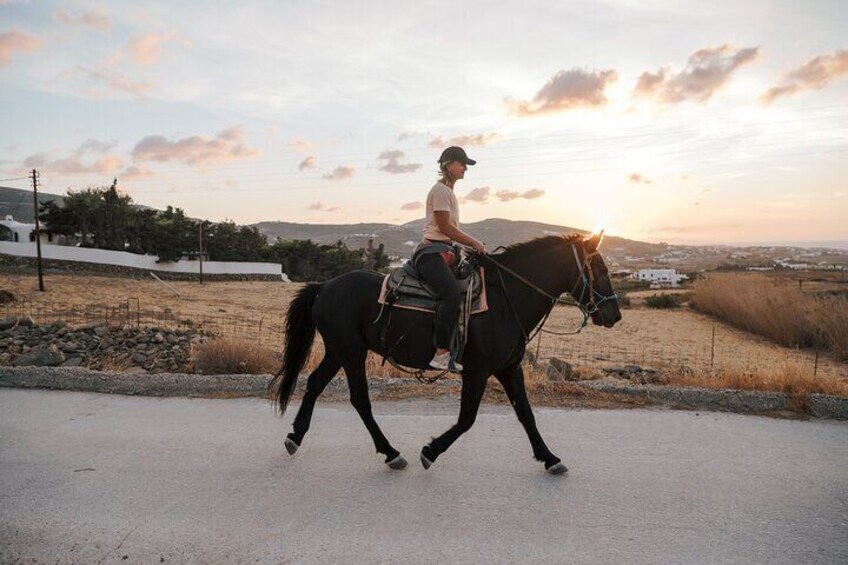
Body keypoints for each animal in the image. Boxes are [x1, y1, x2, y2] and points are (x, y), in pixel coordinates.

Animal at [272, 231, 624, 474]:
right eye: (600, 269)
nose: (614, 314)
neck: (506, 298)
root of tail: (324, 287)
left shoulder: (509, 368)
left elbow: (526, 413)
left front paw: (549, 458)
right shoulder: (478, 370)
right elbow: (467, 418)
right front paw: (430, 452)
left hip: (338, 350)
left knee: (315, 384)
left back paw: (295, 437)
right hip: (351, 352)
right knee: (359, 399)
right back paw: (391, 452)